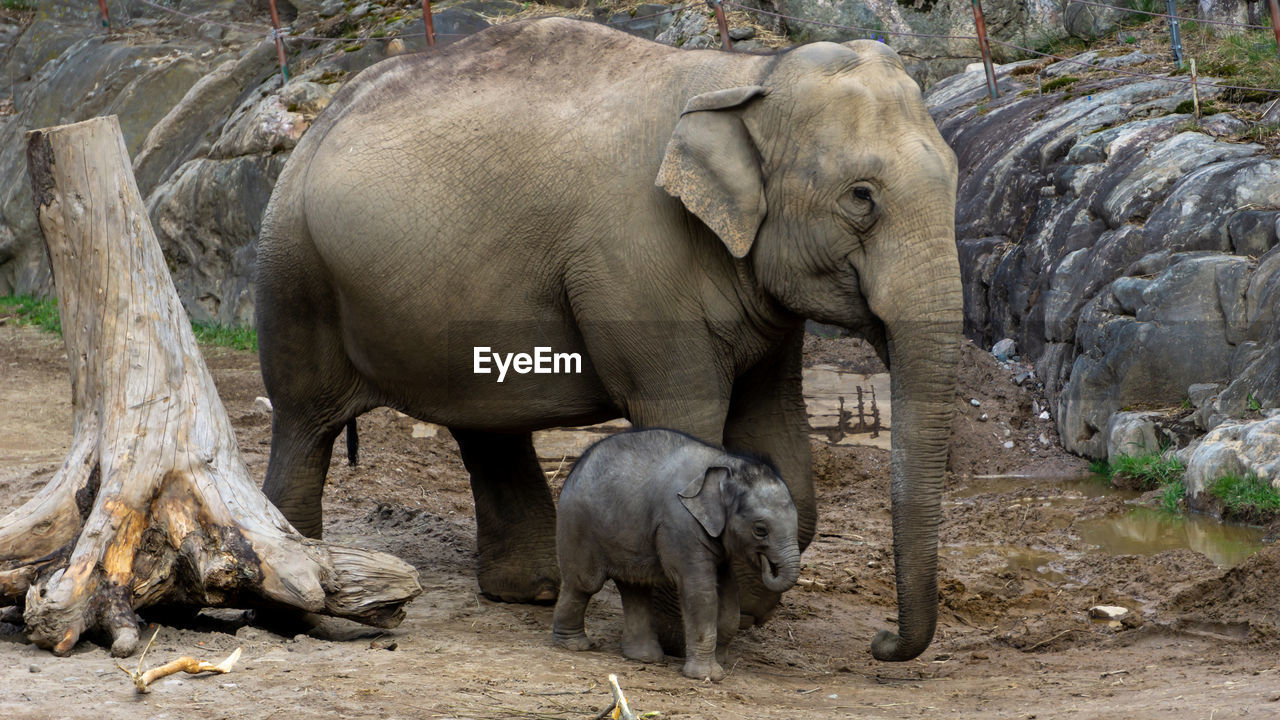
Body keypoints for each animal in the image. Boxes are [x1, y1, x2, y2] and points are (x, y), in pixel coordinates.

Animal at [552, 425, 798, 676]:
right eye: (760, 530)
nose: (769, 564)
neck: (725, 463)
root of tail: (577, 465)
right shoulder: (680, 523)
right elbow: (700, 589)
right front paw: (707, 676)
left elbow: (729, 594)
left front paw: (721, 663)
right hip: (578, 524)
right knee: (584, 584)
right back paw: (573, 645)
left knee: (634, 587)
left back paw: (644, 657)